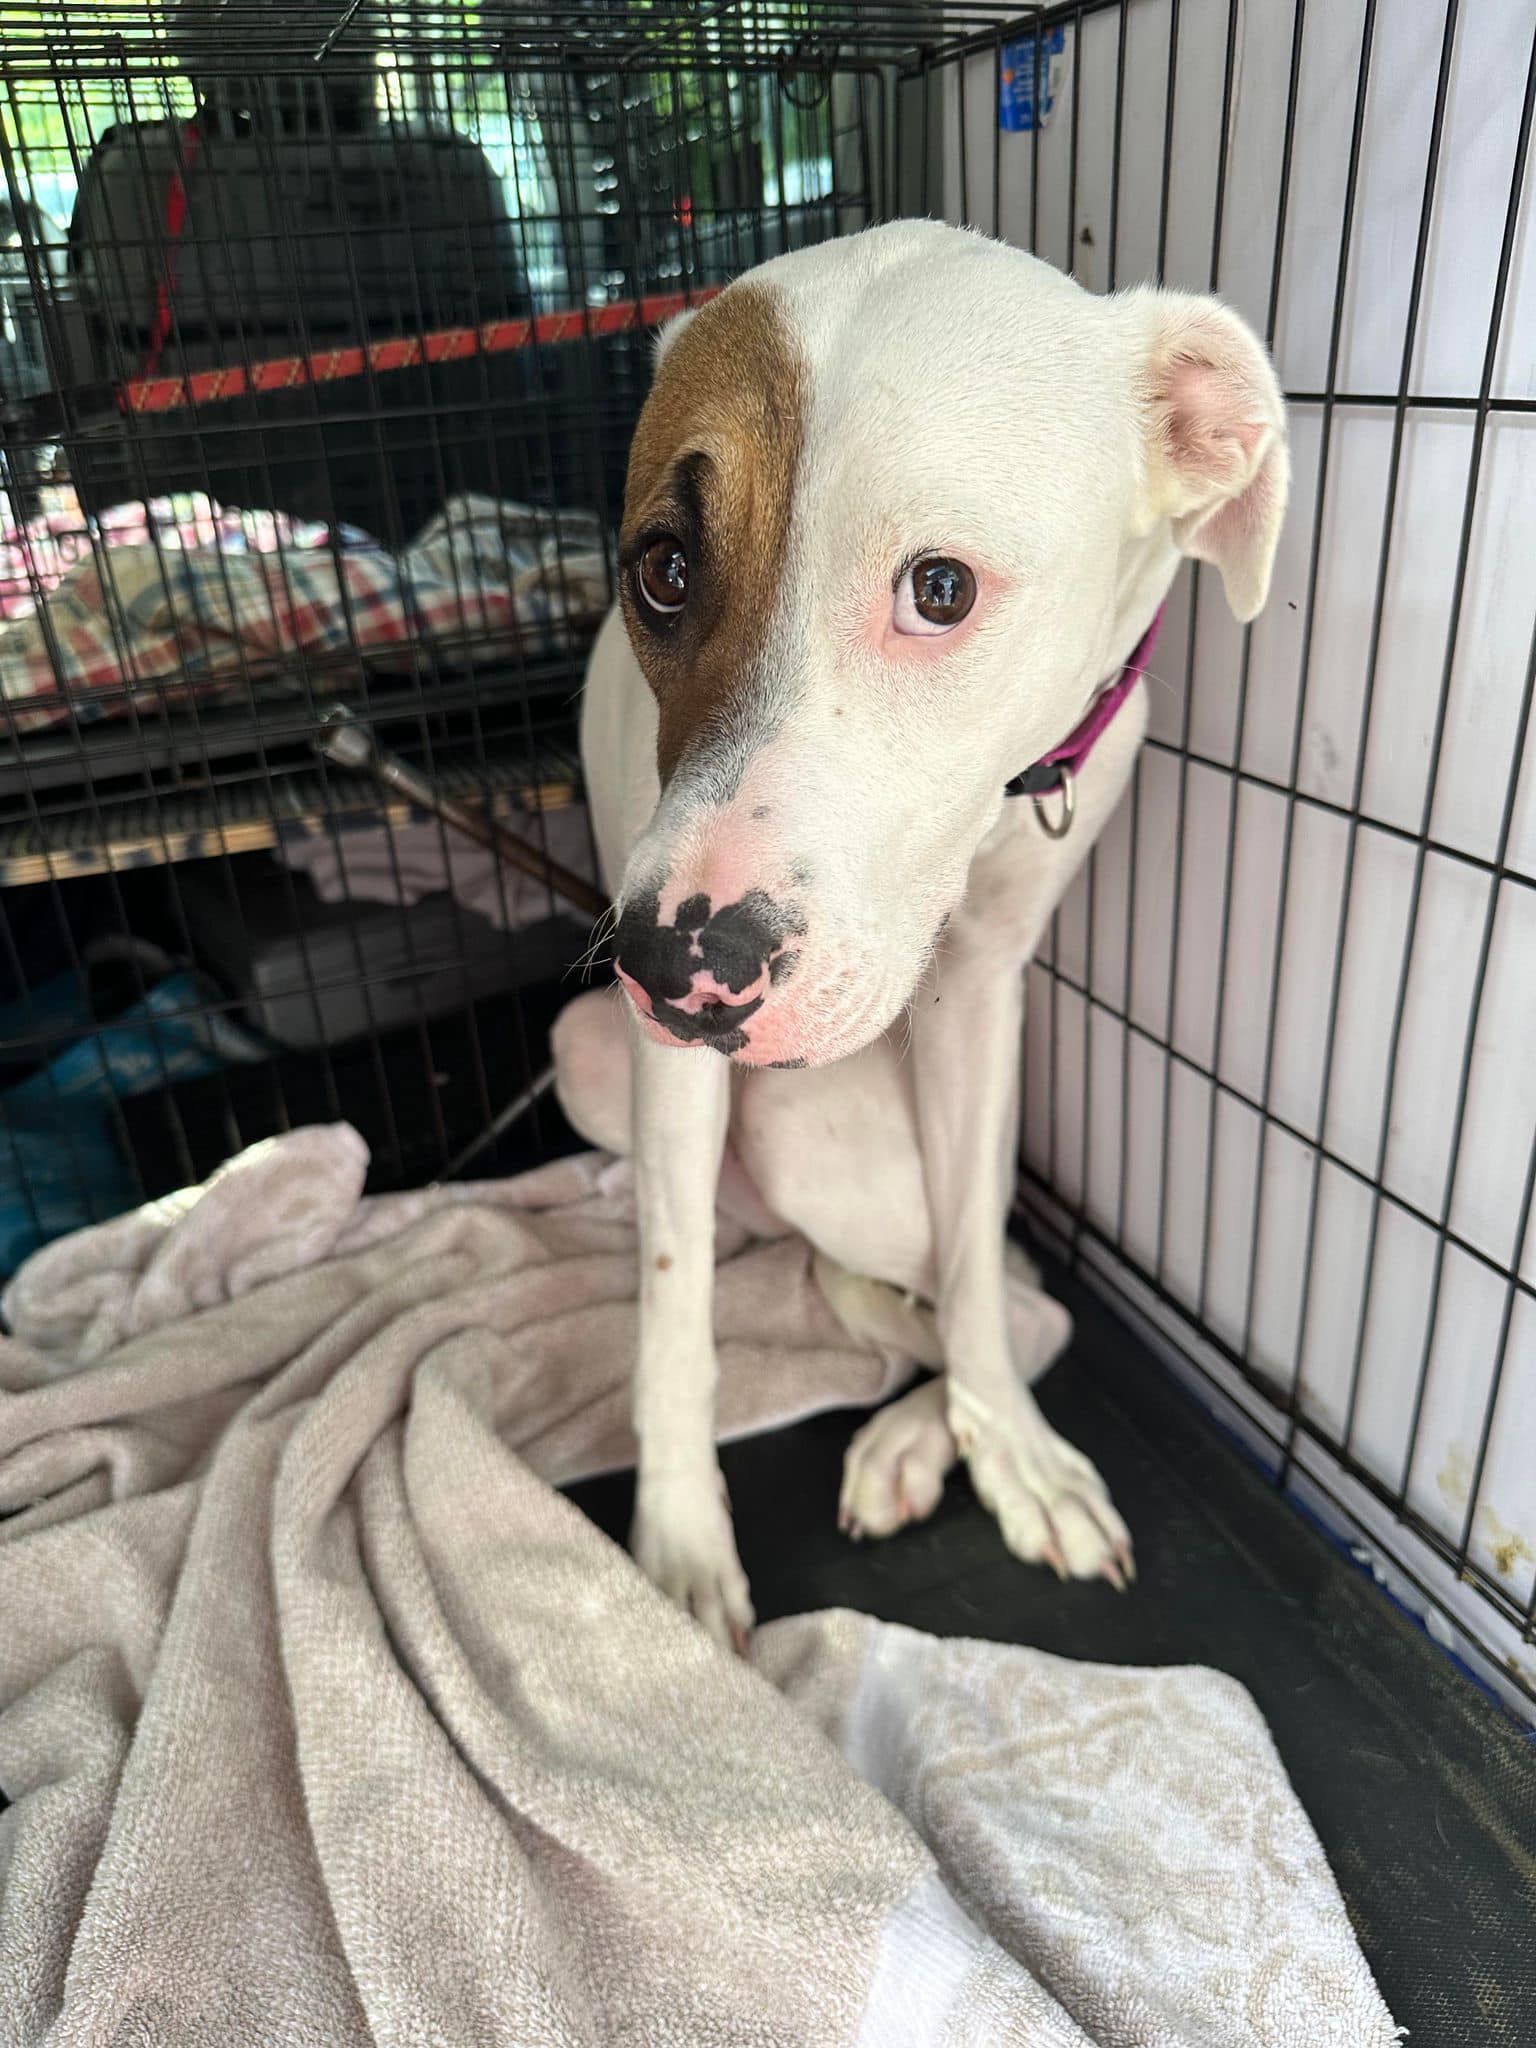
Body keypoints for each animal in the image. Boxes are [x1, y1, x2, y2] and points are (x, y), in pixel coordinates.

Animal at [552, 220, 1286, 1646]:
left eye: (939, 589)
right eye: (664, 568)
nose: (666, 963)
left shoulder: (990, 991)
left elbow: (980, 1270)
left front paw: (1008, 1446)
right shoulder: (666, 1054)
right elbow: (675, 1304)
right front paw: (675, 1548)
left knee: (1008, 1289)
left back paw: (919, 1430)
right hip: (591, 1051)